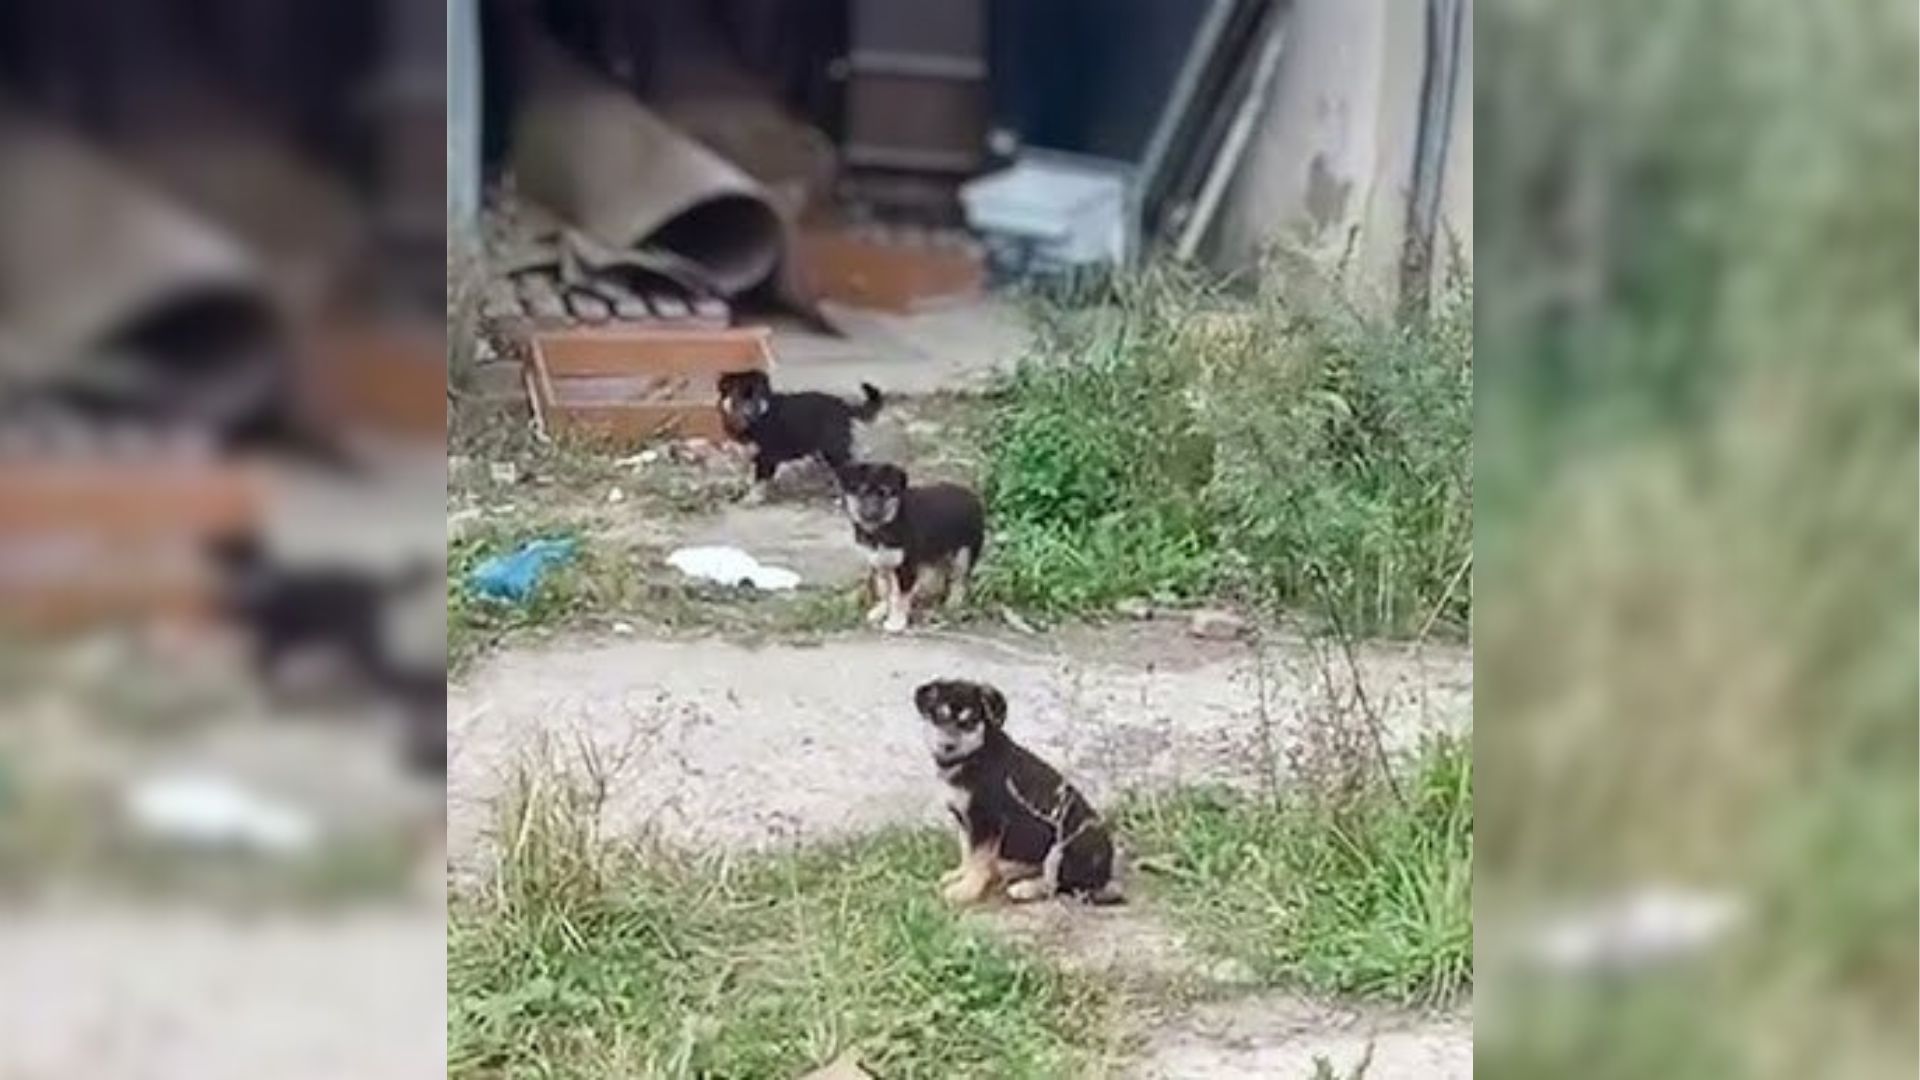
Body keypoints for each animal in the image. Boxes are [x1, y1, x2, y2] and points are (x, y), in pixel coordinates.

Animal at [714, 367, 883, 503]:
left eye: (756, 396)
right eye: (737, 397)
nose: (749, 414)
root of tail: (843, 405)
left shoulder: (766, 457)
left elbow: (759, 480)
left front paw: (752, 498)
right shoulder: (749, 455)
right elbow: (748, 477)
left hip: (833, 448)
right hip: (821, 451)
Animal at [844, 461, 990, 630]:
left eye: (884, 493)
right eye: (862, 493)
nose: (872, 512)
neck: (886, 525)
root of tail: (973, 497)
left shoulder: (906, 567)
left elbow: (899, 597)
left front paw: (896, 622)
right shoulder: (879, 563)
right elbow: (885, 591)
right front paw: (881, 610)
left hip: (964, 554)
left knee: (960, 580)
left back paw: (953, 602)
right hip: (936, 553)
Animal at [910, 676, 1121, 903]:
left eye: (970, 721)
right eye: (940, 716)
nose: (947, 746)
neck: (975, 754)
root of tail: (1106, 871)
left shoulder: (987, 821)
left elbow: (979, 858)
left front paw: (966, 890)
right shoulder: (964, 819)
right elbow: (967, 851)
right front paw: (959, 874)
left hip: (1064, 846)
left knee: (1059, 885)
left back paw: (1025, 888)